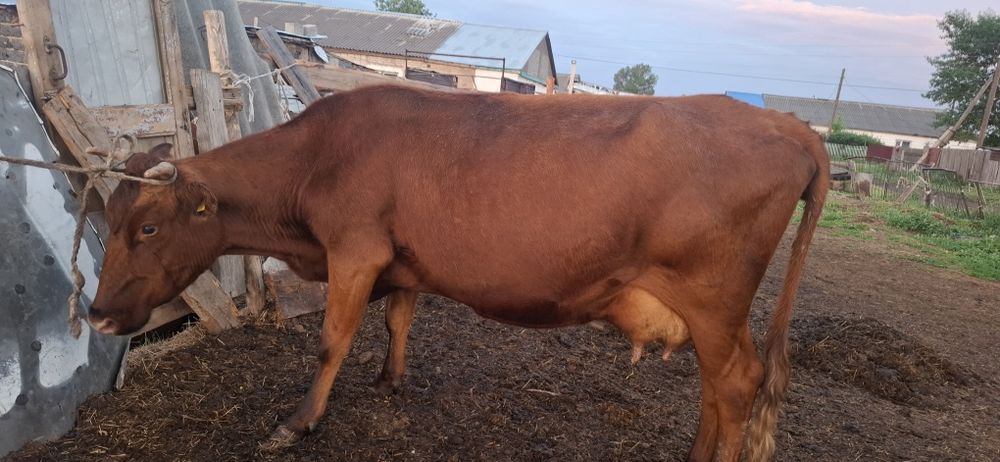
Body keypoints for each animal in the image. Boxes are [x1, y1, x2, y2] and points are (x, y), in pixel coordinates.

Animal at [86, 85, 828, 462]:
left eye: (146, 228)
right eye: (104, 218)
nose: (96, 315)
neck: (317, 156)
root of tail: (792, 125)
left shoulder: (355, 249)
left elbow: (331, 341)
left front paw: (298, 422)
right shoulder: (404, 259)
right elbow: (398, 318)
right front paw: (390, 380)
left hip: (714, 298)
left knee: (737, 383)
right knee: (717, 389)